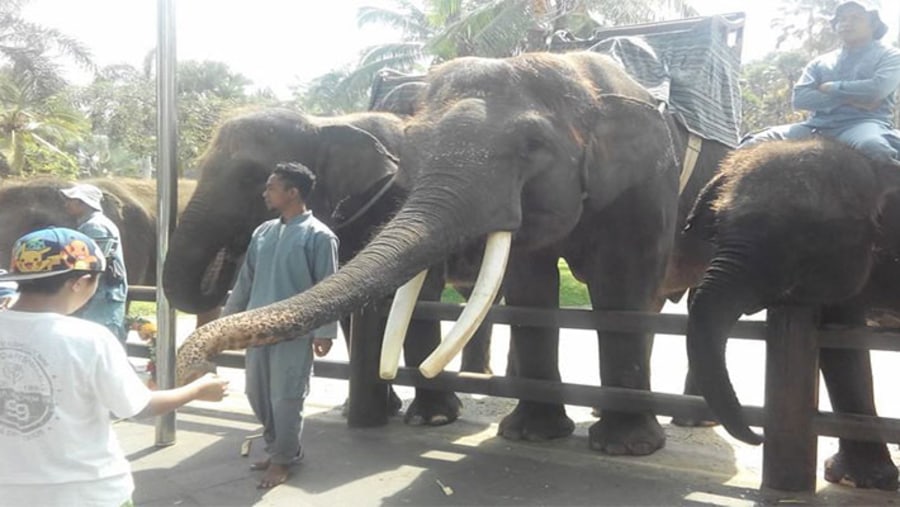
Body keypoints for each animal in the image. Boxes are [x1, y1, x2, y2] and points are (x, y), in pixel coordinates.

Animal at [174, 52, 732, 456]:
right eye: (414, 147)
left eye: (532, 146)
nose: (196, 370)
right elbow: (526, 287)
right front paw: (521, 432)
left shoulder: (647, 180)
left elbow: (620, 283)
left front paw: (624, 448)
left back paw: (690, 418)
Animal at [684, 137, 900, 490]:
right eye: (715, 230)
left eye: (809, 237)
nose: (758, 436)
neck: (875, 169)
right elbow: (840, 350)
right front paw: (863, 479)